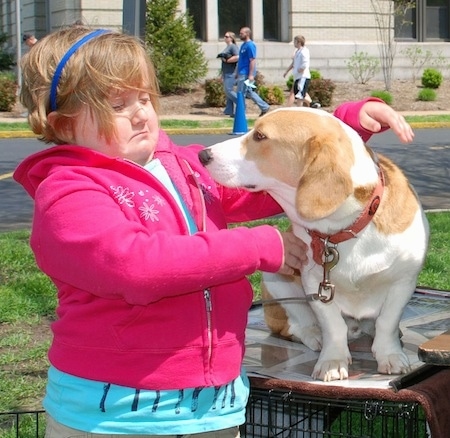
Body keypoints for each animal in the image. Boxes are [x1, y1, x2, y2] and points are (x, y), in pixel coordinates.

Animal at [198, 108, 428, 382]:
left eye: (260, 136)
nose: (202, 155)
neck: (344, 229)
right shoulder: (316, 286)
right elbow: (334, 327)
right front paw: (332, 361)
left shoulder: (403, 282)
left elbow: (387, 323)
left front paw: (390, 355)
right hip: (276, 280)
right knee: (293, 325)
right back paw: (313, 334)